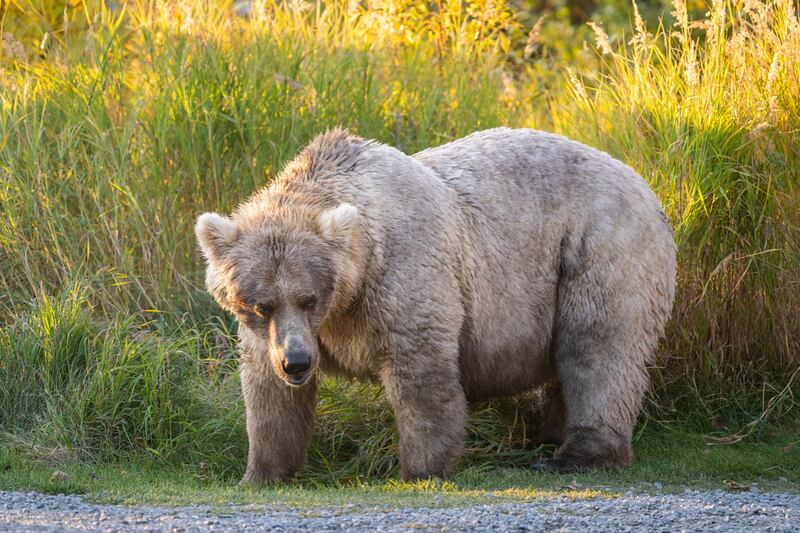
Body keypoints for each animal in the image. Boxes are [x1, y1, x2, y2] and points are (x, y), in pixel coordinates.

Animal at [195, 127, 676, 484]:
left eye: (308, 297)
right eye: (261, 304)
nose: (296, 362)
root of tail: (642, 181)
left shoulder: (403, 275)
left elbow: (420, 373)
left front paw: (421, 467)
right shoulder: (275, 335)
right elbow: (270, 397)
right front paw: (260, 473)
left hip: (597, 247)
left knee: (597, 349)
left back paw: (574, 453)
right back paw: (545, 435)